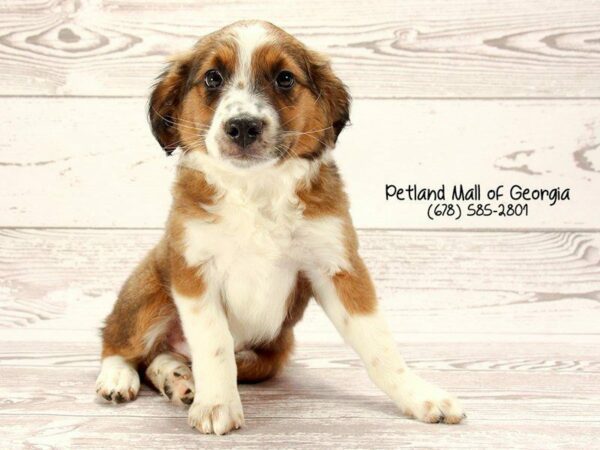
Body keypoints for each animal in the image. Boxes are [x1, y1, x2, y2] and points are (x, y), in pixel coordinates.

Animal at [96, 22, 466, 436]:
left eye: (284, 78)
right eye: (213, 77)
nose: (243, 127)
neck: (255, 189)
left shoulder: (337, 265)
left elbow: (379, 344)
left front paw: (420, 396)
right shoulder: (194, 269)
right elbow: (213, 342)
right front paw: (217, 404)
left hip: (272, 353)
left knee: (163, 356)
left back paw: (176, 377)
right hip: (149, 290)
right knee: (118, 342)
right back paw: (120, 378)